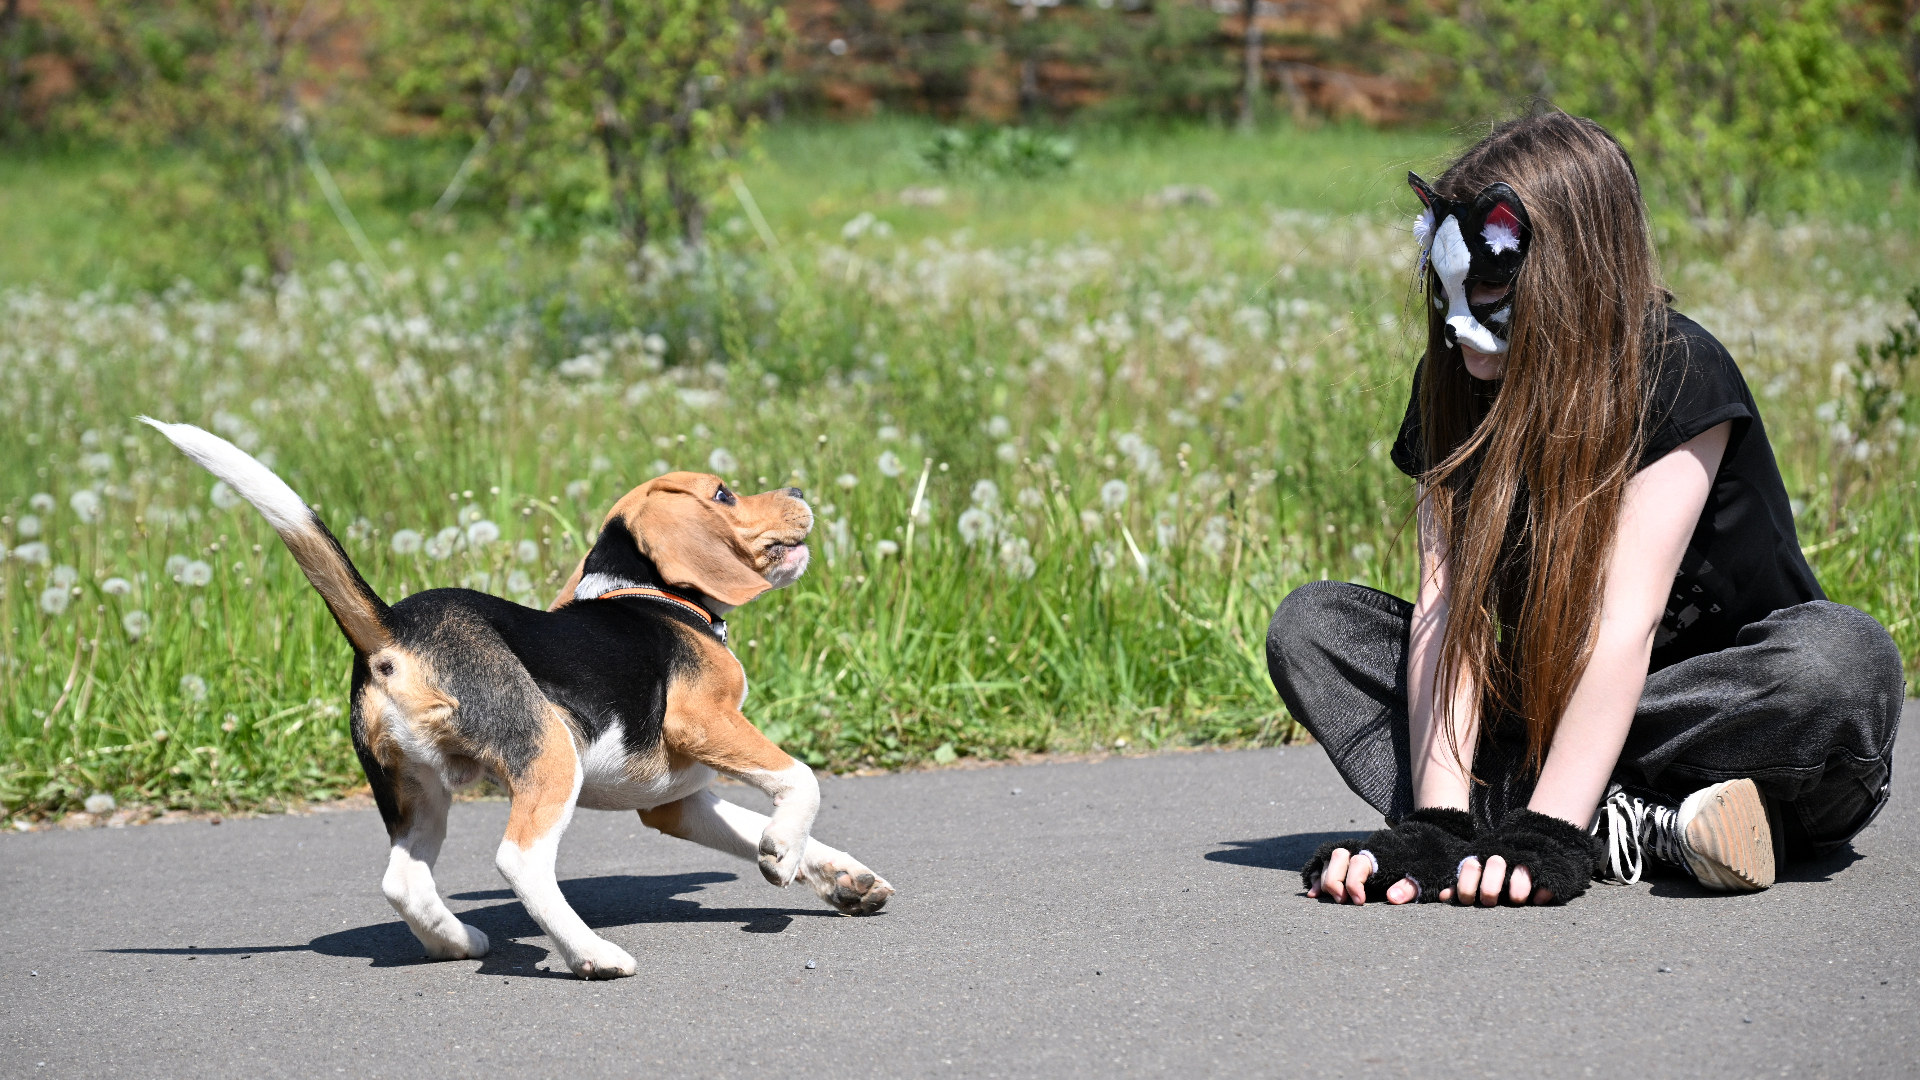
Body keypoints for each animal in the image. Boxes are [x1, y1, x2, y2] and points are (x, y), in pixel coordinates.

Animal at [145, 418, 894, 976]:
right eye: (724, 494)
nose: (798, 486)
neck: (647, 592)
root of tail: (393, 629)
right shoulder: (705, 721)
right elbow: (801, 780)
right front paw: (783, 852)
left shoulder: (675, 802)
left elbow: (758, 824)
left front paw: (839, 876)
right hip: (550, 751)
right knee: (520, 861)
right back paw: (591, 954)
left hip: (415, 790)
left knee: (402, 880)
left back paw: (456, 941)